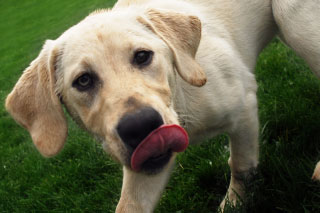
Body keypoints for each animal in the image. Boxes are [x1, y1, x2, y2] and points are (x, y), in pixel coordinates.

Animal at [5, 0, 320, 211]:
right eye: (83, 81)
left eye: (143, 56)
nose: (141, 126)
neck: (181, 100)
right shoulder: (144, 165)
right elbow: (128, 205)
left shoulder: (243, 106)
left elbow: (240, 166)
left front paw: (234, 203)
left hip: (294, 22)